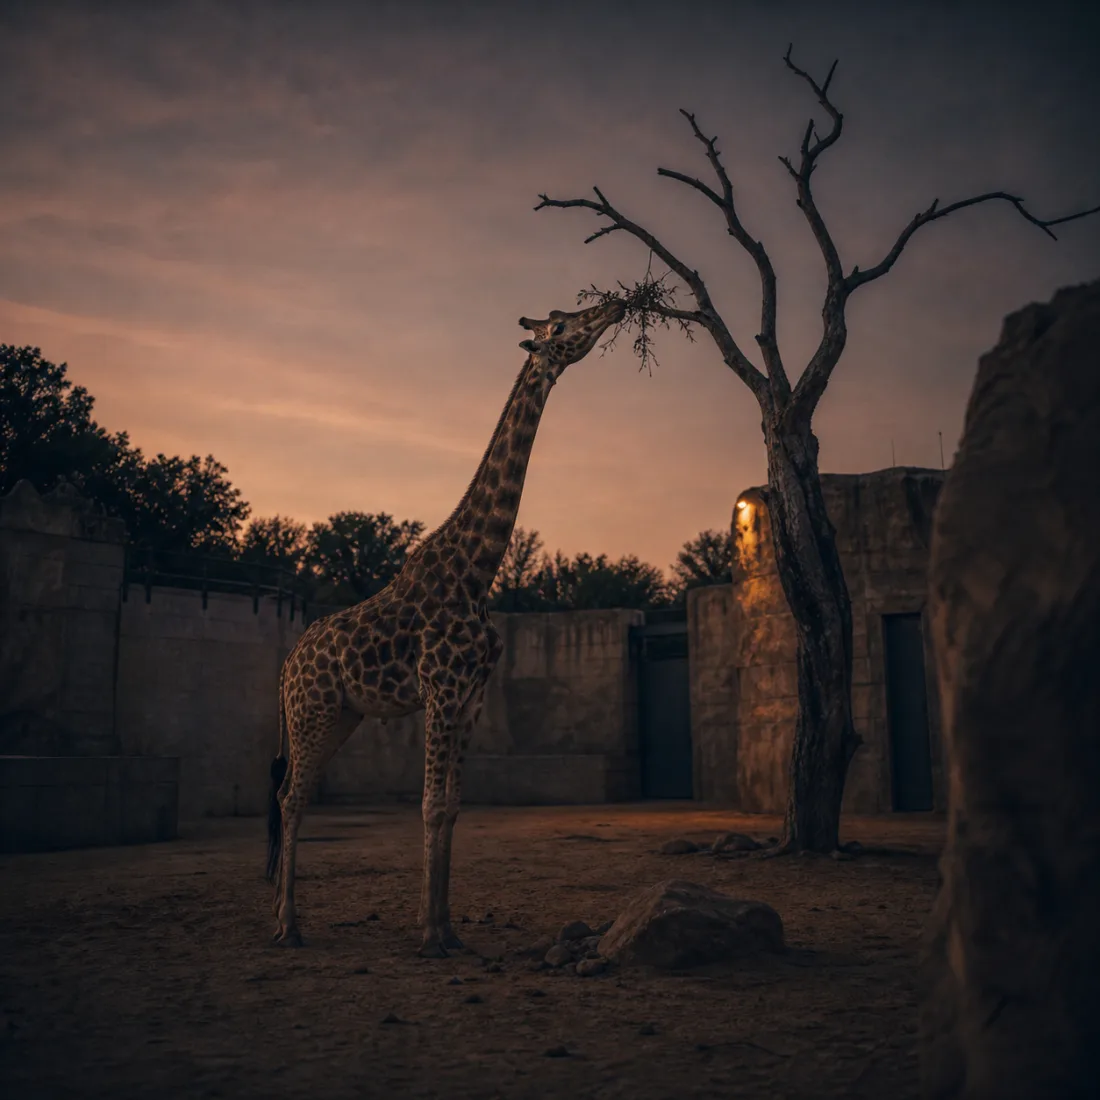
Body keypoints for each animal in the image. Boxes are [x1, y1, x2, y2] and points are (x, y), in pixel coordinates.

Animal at [266, 297, 626, 957]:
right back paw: (287, 926)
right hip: (312, 712)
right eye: (563, 326)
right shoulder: (441, 688)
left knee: (290, 794)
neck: (477, 572)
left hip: (341, 715)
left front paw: (448, 927)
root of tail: (284, 667)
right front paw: (431, 934)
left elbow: (454, 806)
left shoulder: (472, 696)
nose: (614, 306)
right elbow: (432, 805)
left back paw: (291, 920)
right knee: (291, 797)